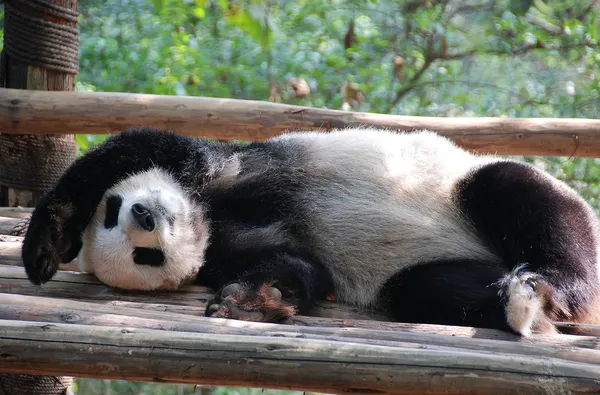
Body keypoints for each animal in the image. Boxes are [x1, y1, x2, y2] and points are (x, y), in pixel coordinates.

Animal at [19, 127, 600, 338]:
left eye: (115, 211)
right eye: (146, 259)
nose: (145, 217)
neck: (209, 218)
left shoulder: (230, 171)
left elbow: (141, 149)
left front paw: (49, 240)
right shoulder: (226, 250)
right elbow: (303, 269)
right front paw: (257, 300)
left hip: (464, 190)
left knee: (514, 191)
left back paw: (549, 286)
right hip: (431, 274)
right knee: (422, 289)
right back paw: (520, 304)